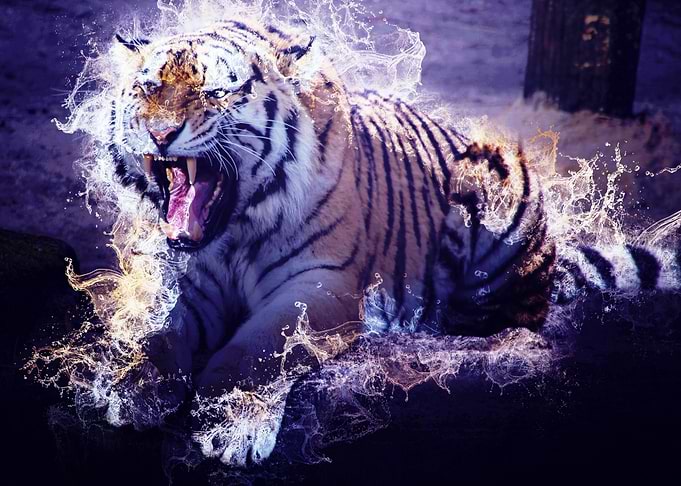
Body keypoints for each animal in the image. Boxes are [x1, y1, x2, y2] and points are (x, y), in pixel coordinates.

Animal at [106, 20, 681, 465]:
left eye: (216, 92)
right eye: (149, 87)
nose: (159, 134)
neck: (235, 231)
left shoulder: (321, 286)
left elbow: (256, 351)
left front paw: (225, 423)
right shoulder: (195, 282)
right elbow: (161, 335)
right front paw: (133, 387)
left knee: (519, 309)